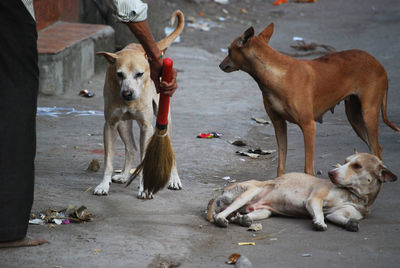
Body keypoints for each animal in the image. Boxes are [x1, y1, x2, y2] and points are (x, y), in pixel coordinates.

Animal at [92, 11, 184, 199]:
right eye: (119, 74)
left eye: (139, 74)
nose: (127, 93)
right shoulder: (110, 125)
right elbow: (108, 161)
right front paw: (104, 185)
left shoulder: (146, 127)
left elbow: (145, 158)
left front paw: (144, 188)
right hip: (123, 124)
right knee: (132, 147)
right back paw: (124, 174)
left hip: (165, 121)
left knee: (169, 152)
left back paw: (174, 179)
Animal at [206, 153, 396, 232]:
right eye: (345, 161)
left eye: (357, 166)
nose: (330, 173)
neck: (354, 196)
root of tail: (220, 192)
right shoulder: (314, 199)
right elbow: (320, 212)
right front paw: (319, 222)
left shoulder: (338, 213)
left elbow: (338, 217)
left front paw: (349, 224)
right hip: (251, 191)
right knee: (221, 214)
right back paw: (222, 219)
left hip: (263, 210)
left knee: (241, 215)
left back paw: (242, 219)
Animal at [220, 22, 398, 176]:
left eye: (229, 50)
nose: (220, 65)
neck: (277, 75)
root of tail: (379, 64)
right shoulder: (279, 124)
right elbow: (281, 164)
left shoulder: (309, 126)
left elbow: (308, 168)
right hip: (355, 118)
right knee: (375, 149)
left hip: (368, 114)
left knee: (376, 148)